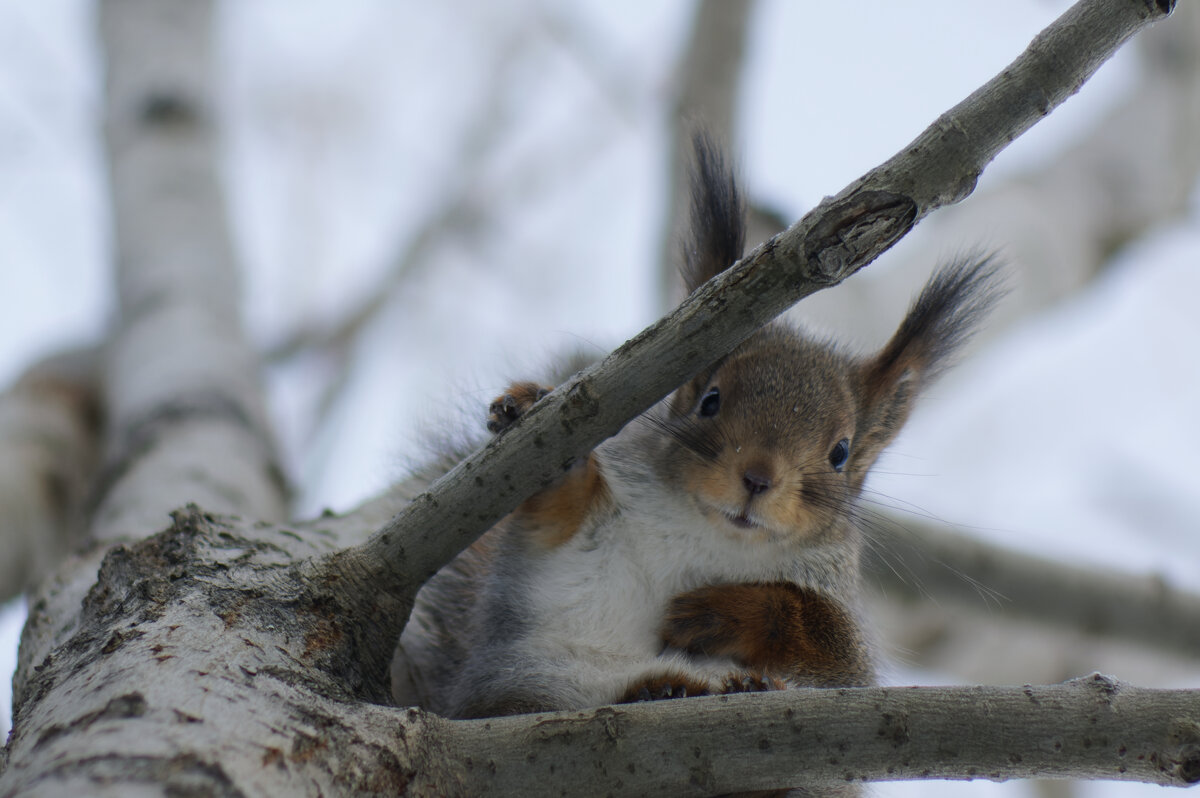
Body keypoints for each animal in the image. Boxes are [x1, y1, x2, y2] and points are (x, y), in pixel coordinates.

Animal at [388, 135, 998, 720]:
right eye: (709, 400)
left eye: (841, 452)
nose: (757, 479)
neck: (707, 532)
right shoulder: (575, 541)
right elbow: (560, 512)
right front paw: (528, 414)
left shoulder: (844, 649)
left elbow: (821, 633)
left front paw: (716, 612)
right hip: (528, 686)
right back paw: (658, 690)